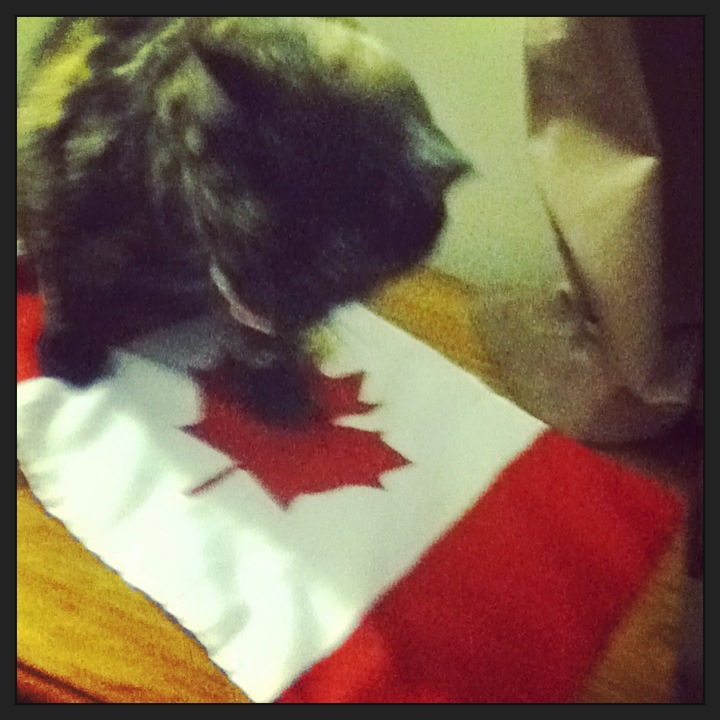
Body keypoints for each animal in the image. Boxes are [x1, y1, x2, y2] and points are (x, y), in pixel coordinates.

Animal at [16, 16, 472, 424]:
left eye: (338, 261)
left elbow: (275, 341)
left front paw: (276, 380)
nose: (257, 299)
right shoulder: (55, 177)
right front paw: (69, 346)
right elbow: (64, 277)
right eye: (237, 218)